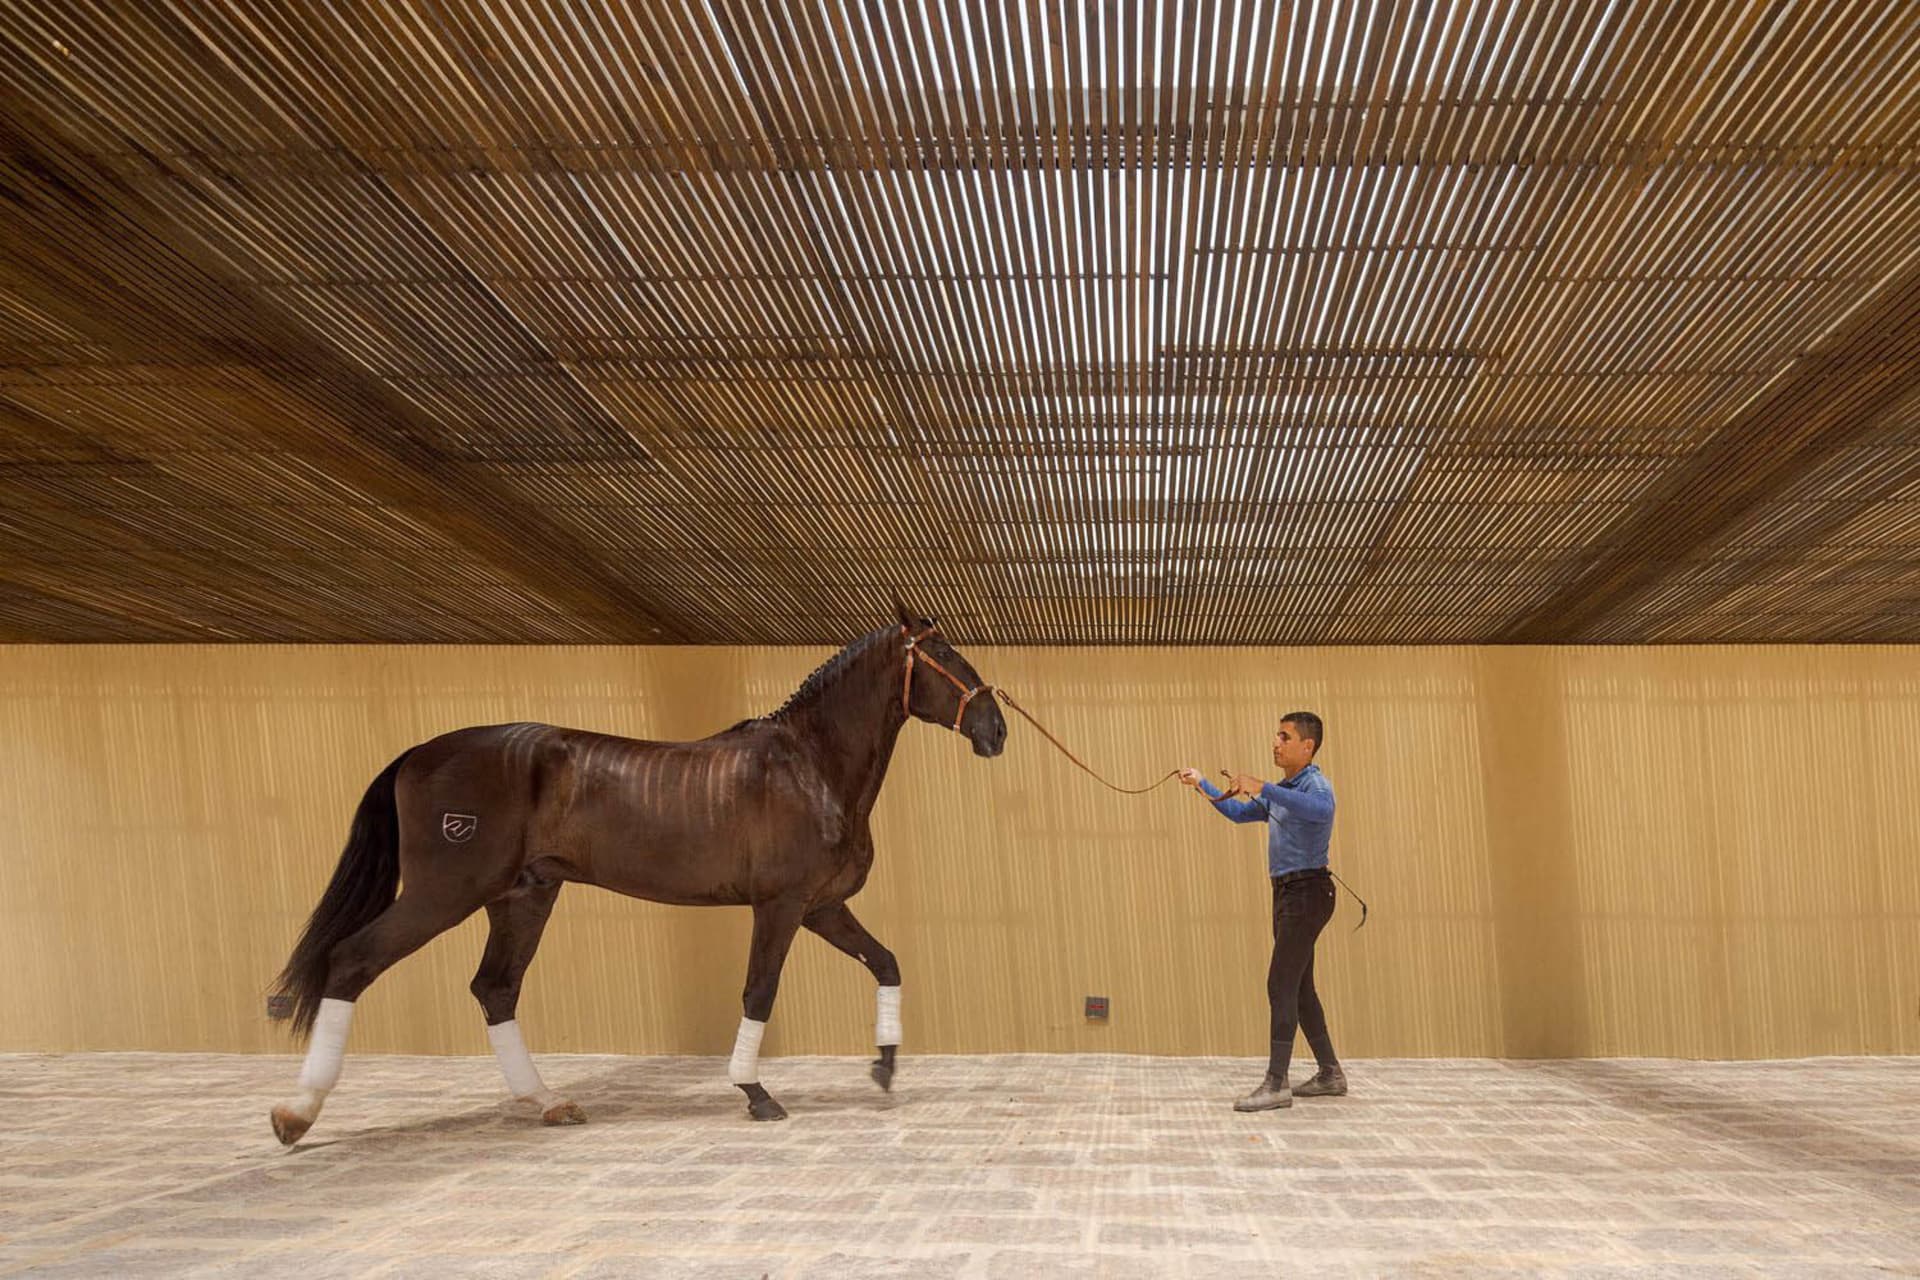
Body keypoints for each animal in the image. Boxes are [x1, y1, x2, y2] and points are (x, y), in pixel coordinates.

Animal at [268, 604, 1007, 1144]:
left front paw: (884, 1066)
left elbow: (885, 962)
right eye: (944, 658)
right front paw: (756, 1093)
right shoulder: (780, 905)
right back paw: (296, 1114)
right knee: (353, 961)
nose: (996, 729)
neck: (808, 766)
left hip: (522, 897)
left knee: (495, 988)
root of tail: (417, 752)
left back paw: (548, 1103)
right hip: (445, 892)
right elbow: (760, 991)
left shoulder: (822, 906)